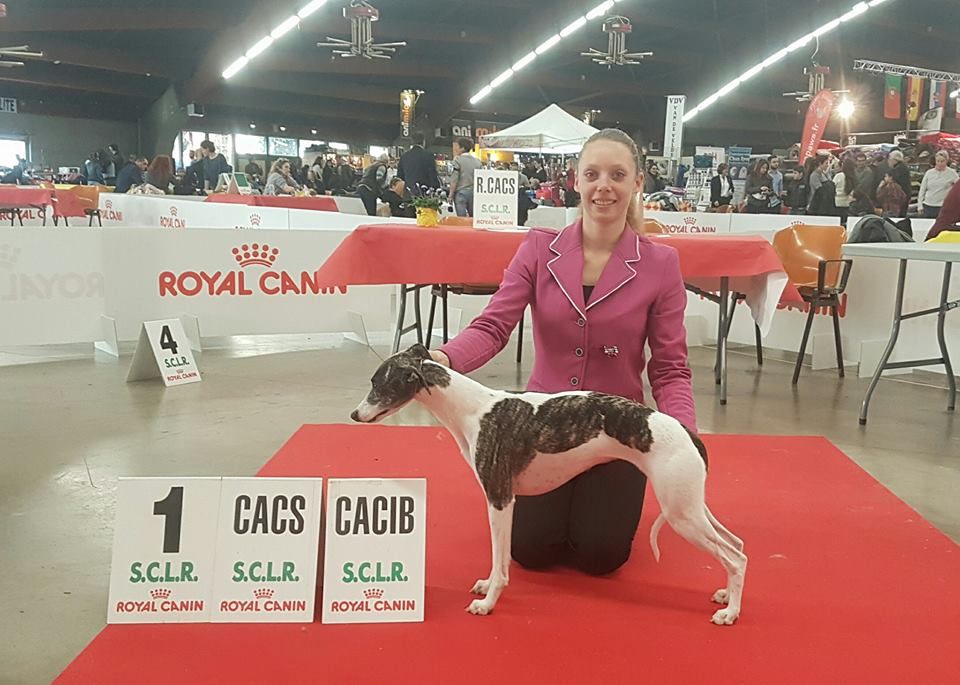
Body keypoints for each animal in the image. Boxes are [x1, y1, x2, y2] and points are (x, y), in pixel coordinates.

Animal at [351, 344, 747, 625]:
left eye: (377, 383)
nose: (354, 415)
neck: (472, 408)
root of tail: (687, 433)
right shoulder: (506, 501)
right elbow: (500, 560)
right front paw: (486, 586)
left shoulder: (500, 498)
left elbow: (499, 561)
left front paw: (487, 602)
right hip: (690, 506)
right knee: (738, 546)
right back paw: (726, 596)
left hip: (681, 513)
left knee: (735, 558)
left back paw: (730, 614)